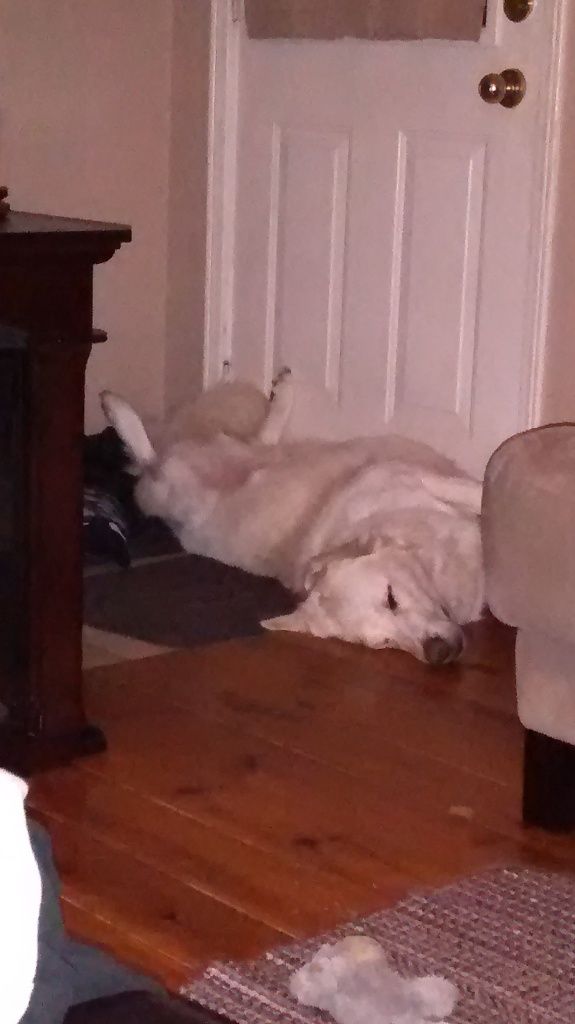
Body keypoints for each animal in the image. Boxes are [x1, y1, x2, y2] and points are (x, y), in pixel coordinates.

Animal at [101, 374, 484, 664]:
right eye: (383, 643)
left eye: (391, 598)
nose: (438, 653)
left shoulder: (417, 478)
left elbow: (477, 493)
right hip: (165, 488)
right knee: (147, 457)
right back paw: (114, 407)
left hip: (238, 456)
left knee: (256, 439)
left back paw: (281, 391)